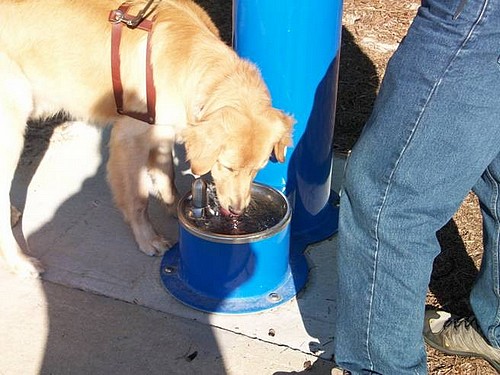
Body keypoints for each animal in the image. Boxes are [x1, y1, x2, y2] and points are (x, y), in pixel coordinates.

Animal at [0, 0, 292, 280]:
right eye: (227, 167)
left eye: (257, 170)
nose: (236, 211)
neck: (191, 60)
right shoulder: (130, 138)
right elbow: (138, 199)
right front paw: (148, 238)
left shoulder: (161, 130)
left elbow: (167, 177)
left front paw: (177, 206)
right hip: (12, 128)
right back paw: (21, 262)